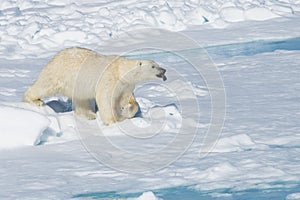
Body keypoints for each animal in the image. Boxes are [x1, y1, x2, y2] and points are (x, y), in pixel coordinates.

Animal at [24, 47, 166, 125]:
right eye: (153, 66)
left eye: (157, 64)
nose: (164, 70)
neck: (121, 70)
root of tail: (55, 57)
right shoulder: (109, 78)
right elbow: (104, 97)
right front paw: (113, 120)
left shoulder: (125, 85)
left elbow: (128, 99)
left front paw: (126, 110)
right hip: (59, 73)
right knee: (44, 85)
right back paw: (35, 100)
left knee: (82, 100)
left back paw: (89, 115)